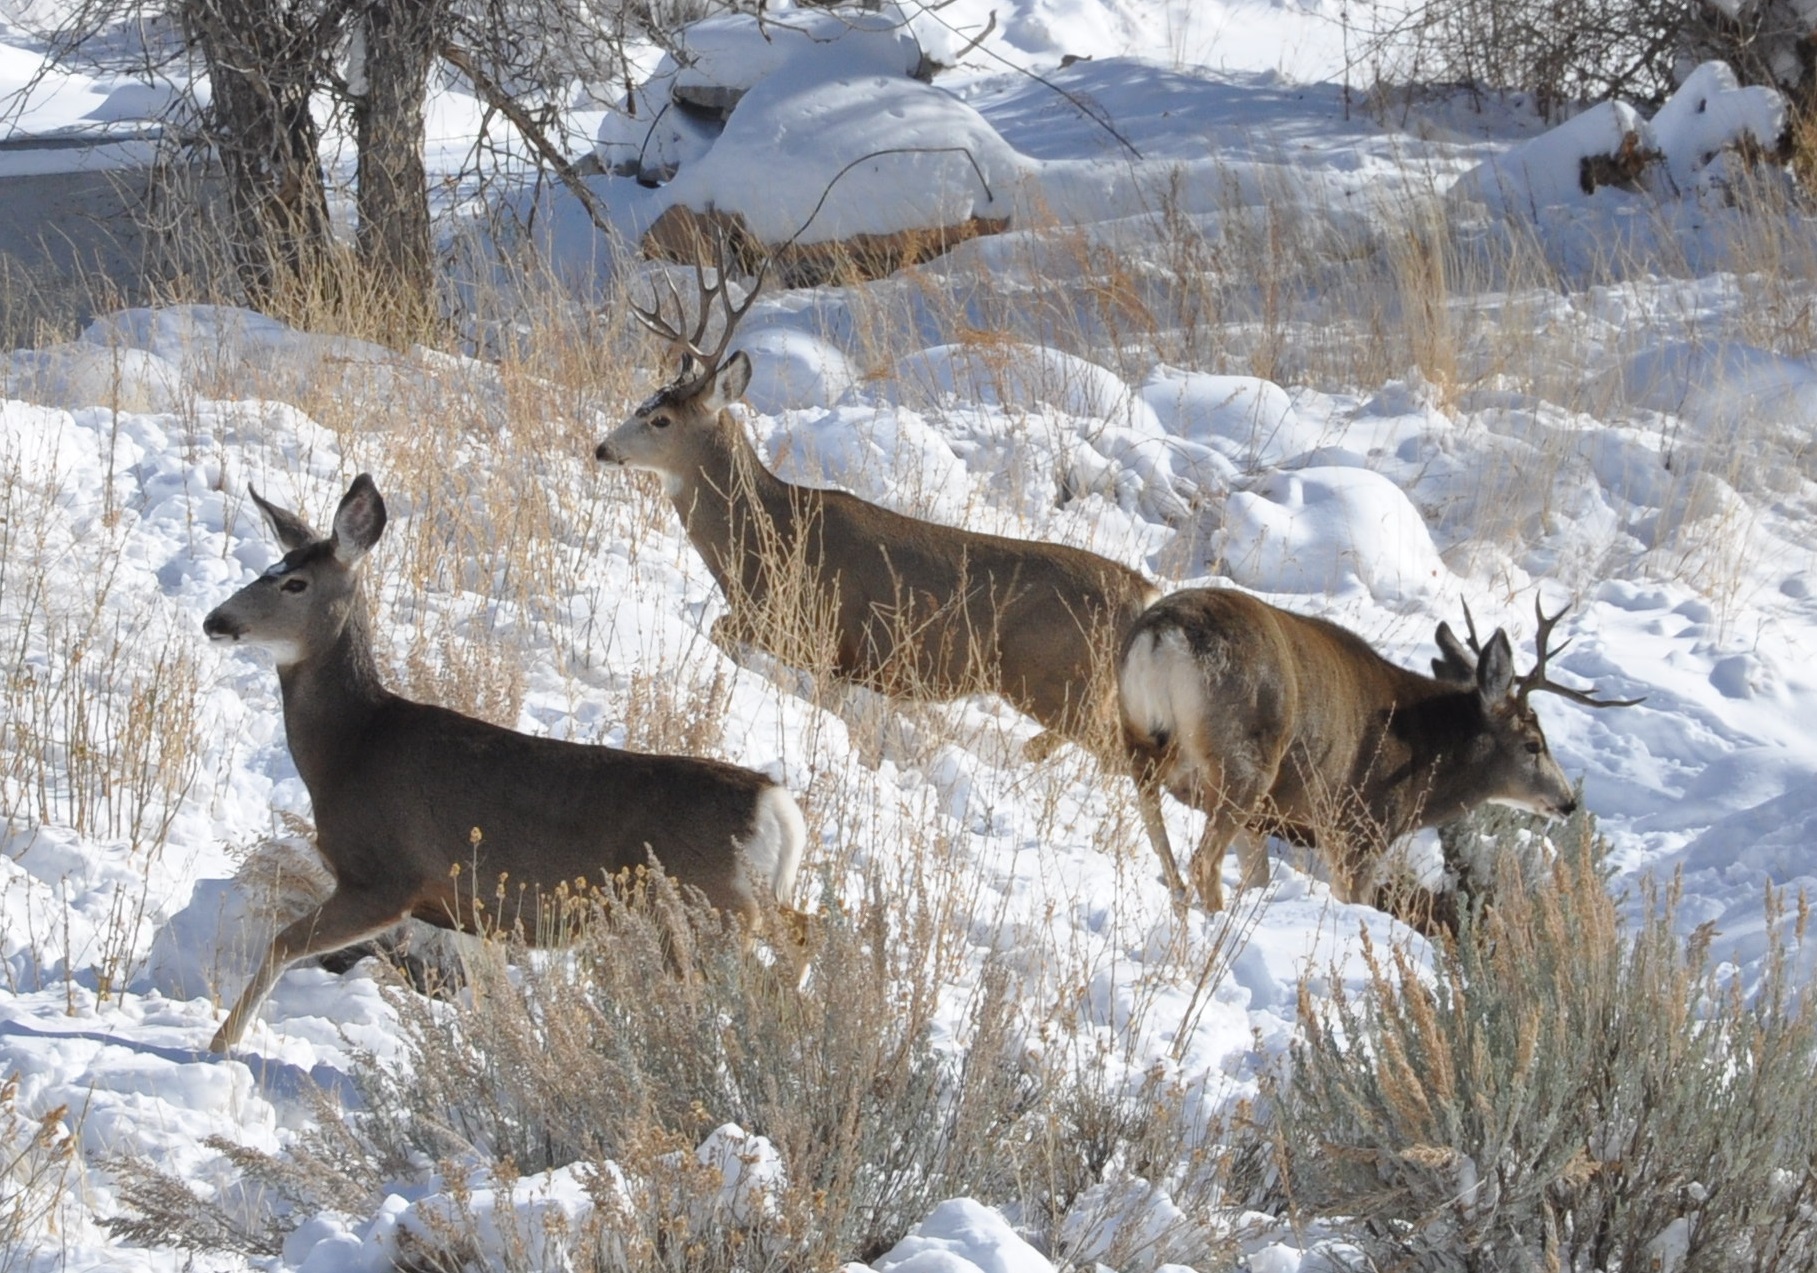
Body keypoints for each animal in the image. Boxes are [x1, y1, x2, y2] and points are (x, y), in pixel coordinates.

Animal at [198, 472, 803, 1046]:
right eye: (268, 569)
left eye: (294, 582)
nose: (214, 621)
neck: (349, 748)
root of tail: (773, 804)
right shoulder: (467, 912)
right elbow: (491, 999)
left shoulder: (383, 878)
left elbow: (284, 944)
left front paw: (220, 1044)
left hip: (704, 915)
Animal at [599, 250, 1162, 766]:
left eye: (661, 420)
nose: (602, 448)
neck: (765, 536)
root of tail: (1143, 592)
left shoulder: (819, 634)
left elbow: (723, 631)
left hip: (1058, 681)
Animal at [1119, 592, 1649, 918]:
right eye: (1534, 744)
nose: (1567, 802)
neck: (1423, 749)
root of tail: (1163, 632)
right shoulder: (1358, 827)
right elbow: (1356, 901)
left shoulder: (1266, 824)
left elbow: (1259, 877)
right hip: (1244, 764)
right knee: (1202, 861)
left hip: (1140, 742)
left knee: (1162, 843)